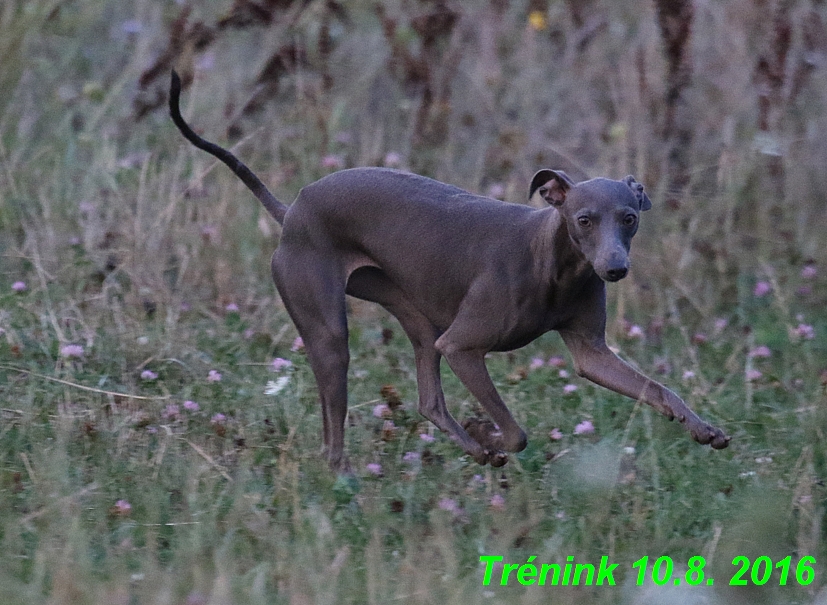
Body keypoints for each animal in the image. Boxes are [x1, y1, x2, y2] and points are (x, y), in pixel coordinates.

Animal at [171, 69, 728, 468]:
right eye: (583, 220)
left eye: (629, 218)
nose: (614, 269)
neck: (554, 264)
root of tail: (292, 211)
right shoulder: (462, 346)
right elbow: (516, 433)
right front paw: (488, 433)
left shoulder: (590, 352)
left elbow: (655, 387)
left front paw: (703, 428)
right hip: (330, 331)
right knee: (333, 428)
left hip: (416, 319)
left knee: (428, 402)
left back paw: (468, 447)